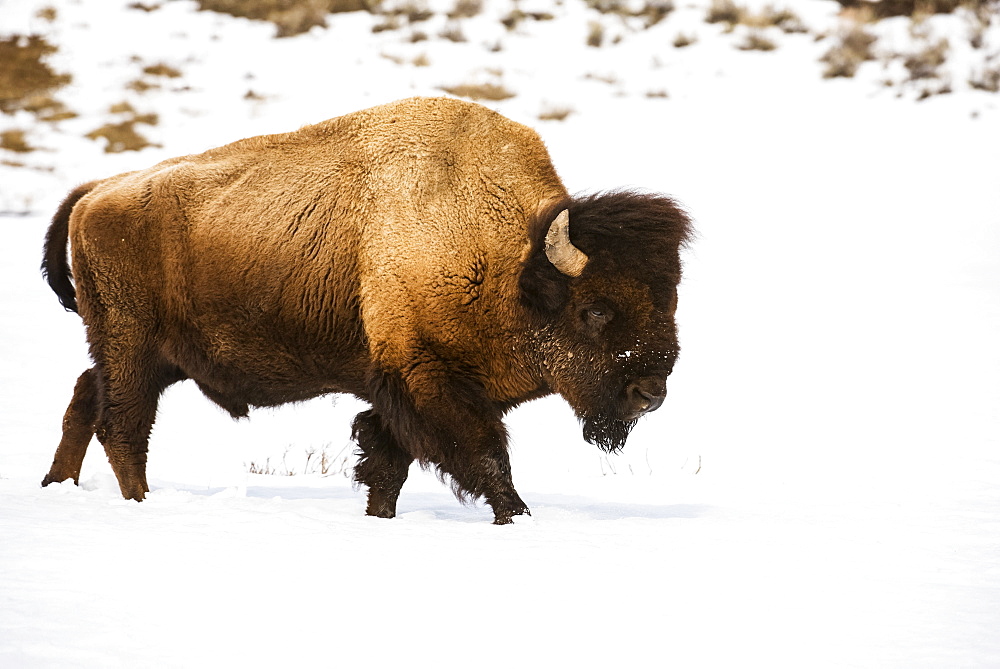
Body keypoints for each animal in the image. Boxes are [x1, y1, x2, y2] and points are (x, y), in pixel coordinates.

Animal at [43, 98, 692, 520]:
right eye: (595, 310)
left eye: (671, 299)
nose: (649, 393)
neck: (509, 263)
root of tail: (97, 192)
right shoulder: (426, 377)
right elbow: (483, 454)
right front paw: (517, 515)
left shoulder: (404, 387)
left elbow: (387, 460)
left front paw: (380, 518)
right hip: (132, 346)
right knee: (123, 425)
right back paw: (137, 504)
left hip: (145, 355)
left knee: (87, 396)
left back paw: (57, 485)